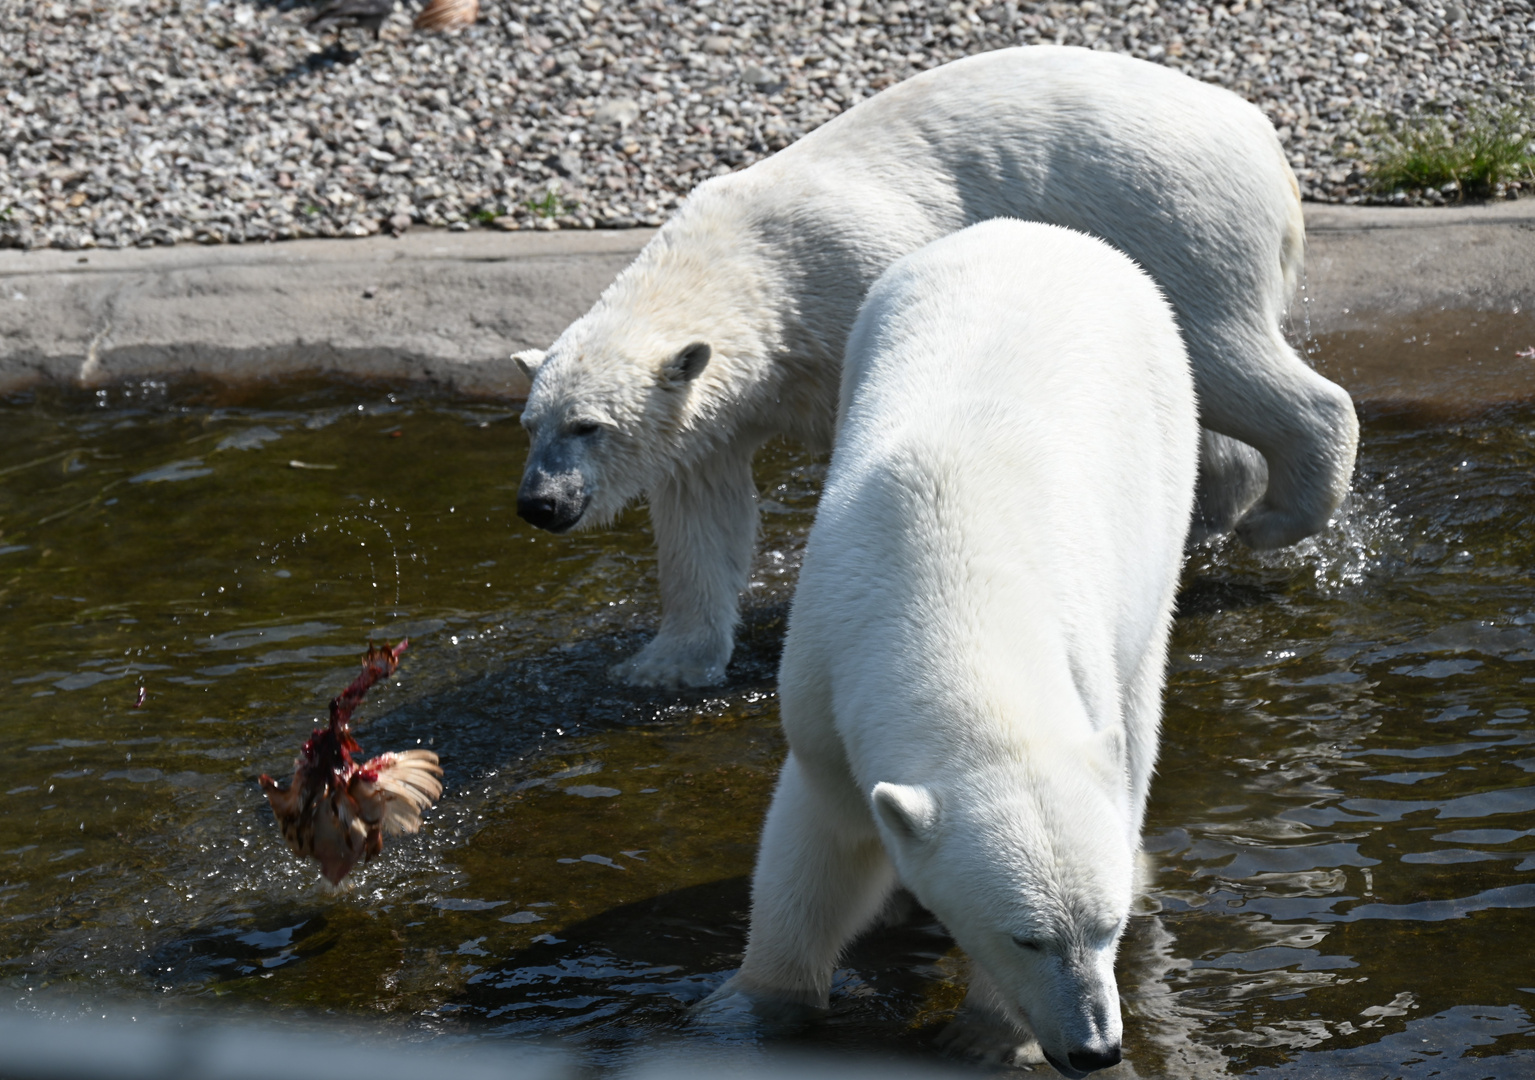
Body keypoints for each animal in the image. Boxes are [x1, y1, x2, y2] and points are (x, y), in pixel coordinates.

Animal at [518, 46, 1356, 687]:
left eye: (588, 425)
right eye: (530, 425)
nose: (539, 505)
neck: (753, 268)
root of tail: (1258, 134)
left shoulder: (851, 280)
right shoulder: (715, 412)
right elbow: (702, 512)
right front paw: (660, 664)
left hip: (1170, 221)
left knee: (1226, 360)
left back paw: (1277, 516)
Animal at [703, 217, 1203, 1073]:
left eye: (1104, 928)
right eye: (1027, 937)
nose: (1096, 1048)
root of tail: (1040, 231)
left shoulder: (1076, 660)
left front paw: (986, 1034)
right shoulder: (824, 692)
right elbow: (817, 849)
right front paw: (753, 1007)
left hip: (1167, 442)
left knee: (1139, 711)